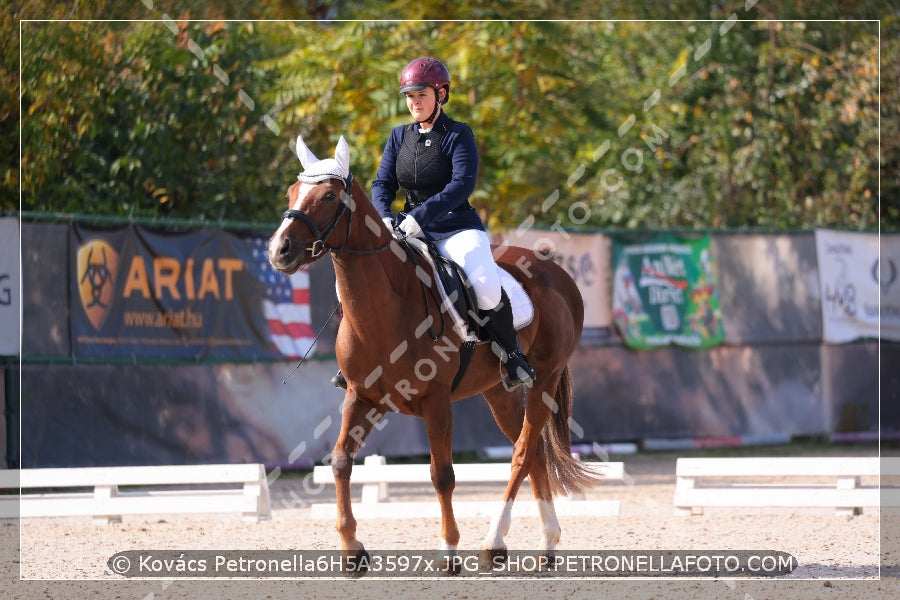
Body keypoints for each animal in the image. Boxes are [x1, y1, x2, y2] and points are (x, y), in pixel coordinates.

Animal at [270, 136, 600, 564]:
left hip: (545, 378)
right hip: (500, 392)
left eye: (328, 196)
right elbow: (341, 461)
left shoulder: (436, 401)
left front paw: (448, 549)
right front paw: (352, 549)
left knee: (523, 453)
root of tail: (556, 272)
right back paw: (544, 544)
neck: (386, 309)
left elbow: (442, 474)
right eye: (292, 192)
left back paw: (494, 541)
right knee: (534, 454)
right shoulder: (362, 397)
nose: (280, 250)